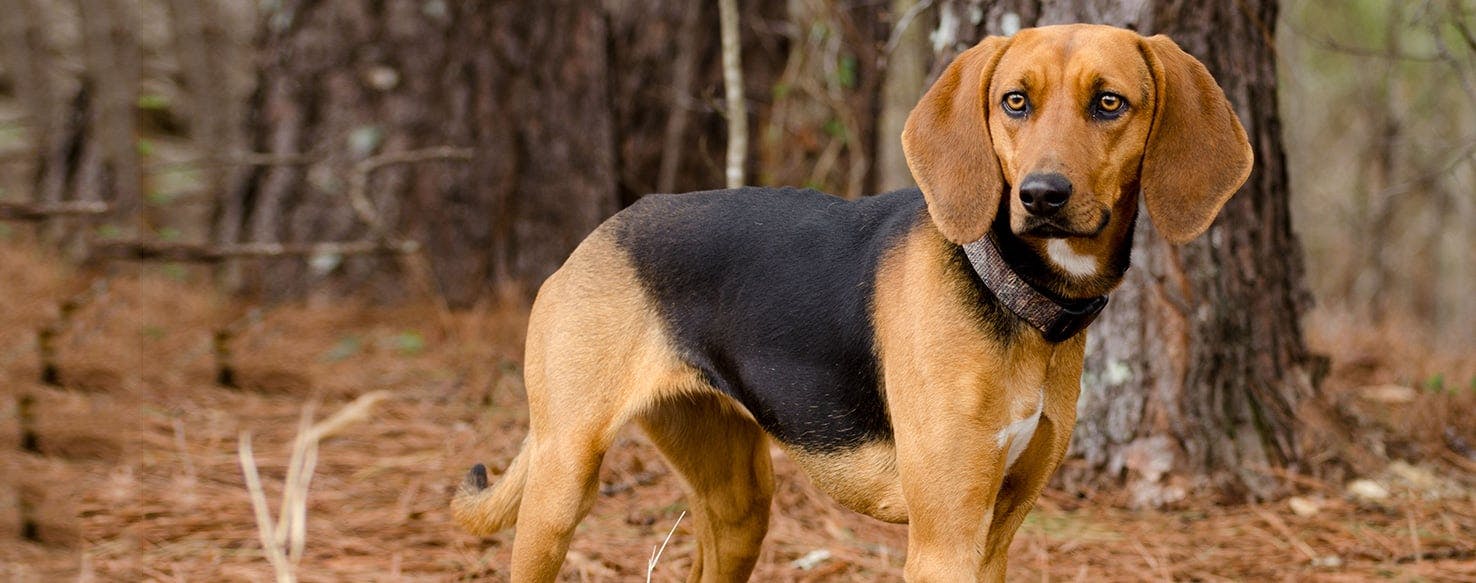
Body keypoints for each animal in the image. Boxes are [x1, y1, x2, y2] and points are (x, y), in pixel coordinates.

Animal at [454, 21, 1251, 578]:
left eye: (1110, 103)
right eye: (1014, 102)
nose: (1042, 196)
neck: (1017, 296)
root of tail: (600, 233)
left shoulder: (995, 534)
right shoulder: (944, 541)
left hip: (738, 502)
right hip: (561, 482)